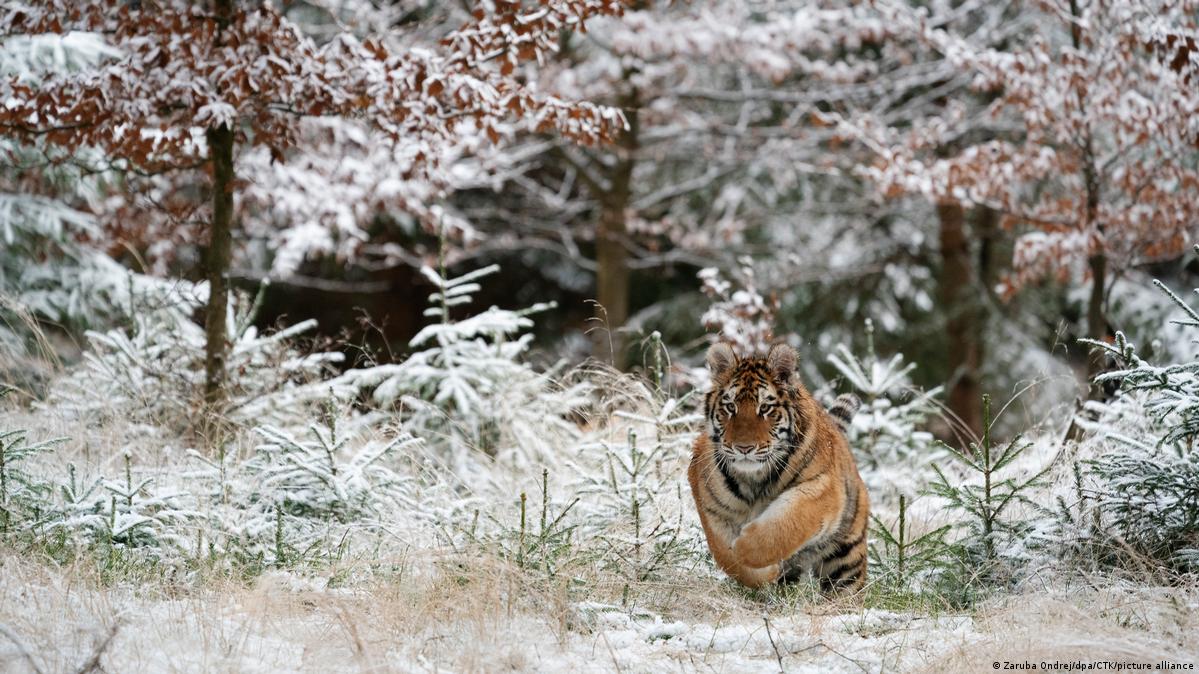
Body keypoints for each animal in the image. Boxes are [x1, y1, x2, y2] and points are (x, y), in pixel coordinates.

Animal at [687, 342, 869, 594]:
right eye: (730, 407)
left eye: (765, 408)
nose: (744, 448)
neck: (753, 478)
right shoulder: (709, 501)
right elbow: (724, 553)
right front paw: (764, 573)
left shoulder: (823, 489)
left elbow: (785, 525)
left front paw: (745, 546)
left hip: (846, 556)